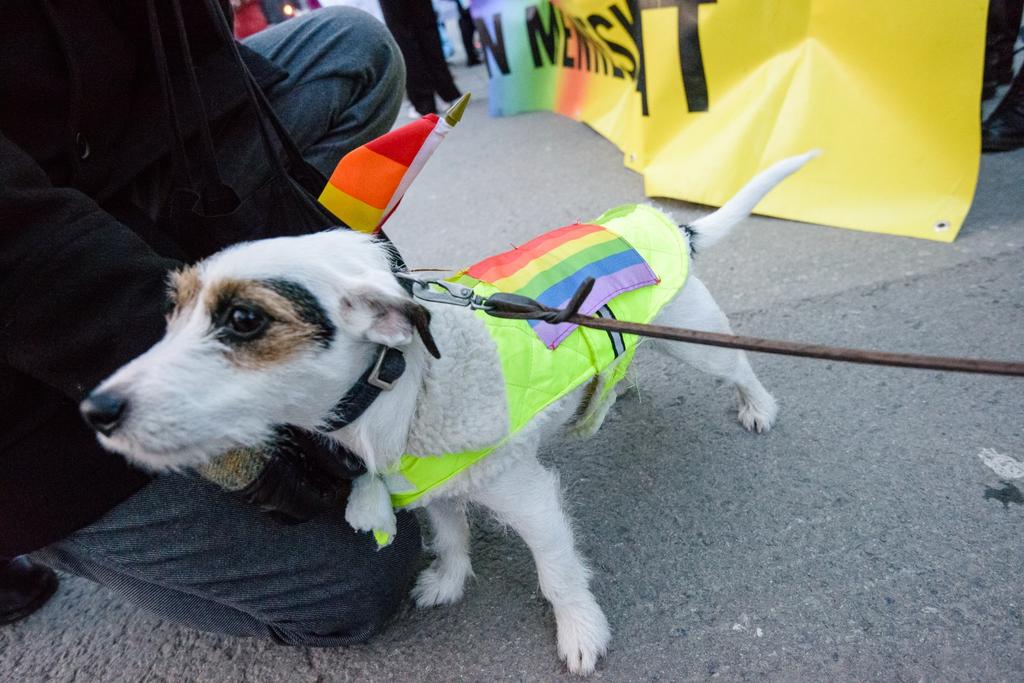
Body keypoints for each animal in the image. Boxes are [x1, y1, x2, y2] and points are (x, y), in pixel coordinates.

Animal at [79, 150, 815, 671]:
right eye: (172, 310)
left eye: (244, 319)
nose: (97, 409)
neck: (404, 387)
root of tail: (671, 226)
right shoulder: (430, 482)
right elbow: (452, 531)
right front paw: (452, 578)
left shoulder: (529, 497)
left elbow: (556, 572)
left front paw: (579, 629)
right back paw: (612, 391)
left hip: (697, 339)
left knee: (739, 367)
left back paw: (757, 405)